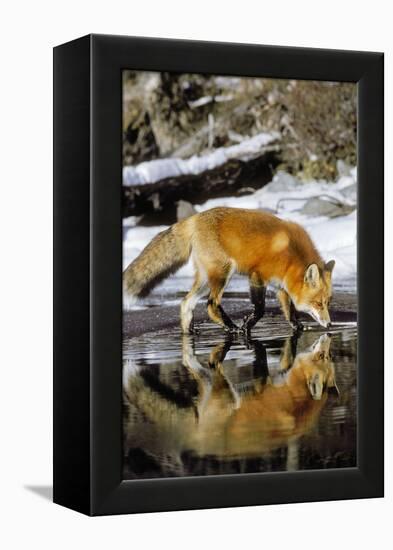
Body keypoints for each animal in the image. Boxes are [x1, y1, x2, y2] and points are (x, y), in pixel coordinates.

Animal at [123, 207, 334, 334]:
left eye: (327, 303)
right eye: (318, 304)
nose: (330, 324)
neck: (291, 255)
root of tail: (194, 218)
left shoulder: (281, 285)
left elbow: (289, 310)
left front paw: (297, 326)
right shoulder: (257, 276)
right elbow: (260, 309)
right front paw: (247, 324)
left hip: (205, 278)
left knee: (186, 302)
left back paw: (189, 333)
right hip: (223, 272)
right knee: (211, 304)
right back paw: (232, 327)